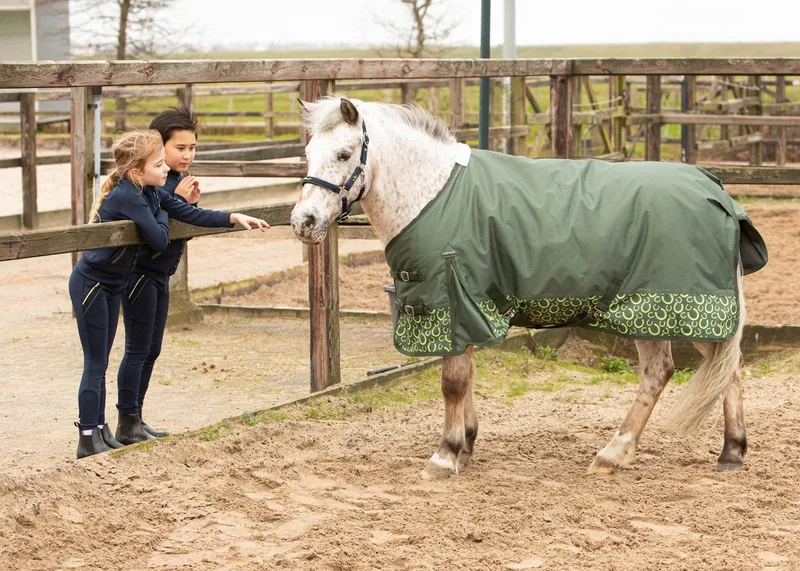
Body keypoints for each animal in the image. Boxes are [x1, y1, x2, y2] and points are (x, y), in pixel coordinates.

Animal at [290, 95, 767, 478]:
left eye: (344, 152)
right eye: (308, 153)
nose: (303, 222)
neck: (433, 195)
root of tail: (717, 193)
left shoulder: (453, 301)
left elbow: (453, 381)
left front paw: (445, 456)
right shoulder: (464, 309)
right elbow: (467, 376)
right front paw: (466, 445)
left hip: (674, 310)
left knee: (700, 370)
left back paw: (634, 453)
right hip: (652, 315)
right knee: (692, 371)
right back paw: (714, 453)